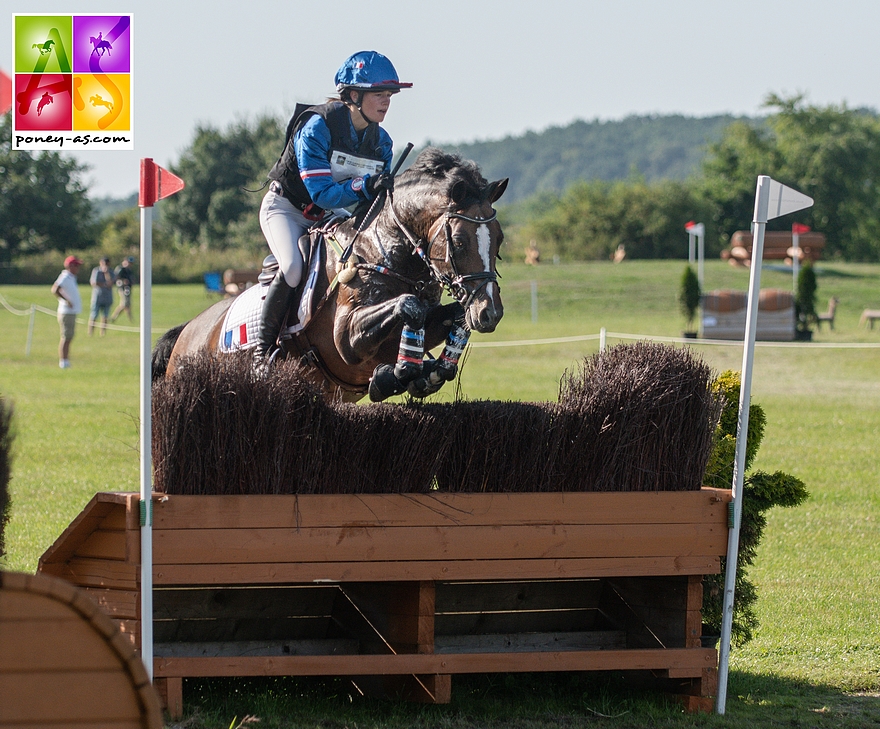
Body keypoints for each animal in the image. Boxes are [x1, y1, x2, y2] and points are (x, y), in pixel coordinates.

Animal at [151, 148, 508, 404]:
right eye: (458, 241)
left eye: (499, 238)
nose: (489, 313)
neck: (384, 251)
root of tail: (187, 332)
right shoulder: (344, 337)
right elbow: (409, 306)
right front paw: (397, 373)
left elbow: (450, 316)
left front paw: (429, 371)